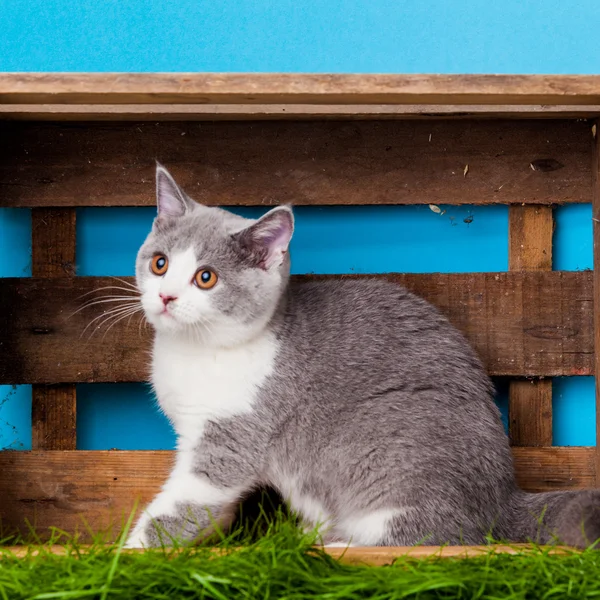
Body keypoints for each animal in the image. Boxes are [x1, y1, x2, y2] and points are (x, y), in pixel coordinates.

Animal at [123, 164, 600, 548]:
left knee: (427, 539)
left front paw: (128, 557)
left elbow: (178, 508)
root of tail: (506, 498)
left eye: (206, 277)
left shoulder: (231, 438)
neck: (195, 350)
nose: (166, 296)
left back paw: (335, 543)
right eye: (160, 263)